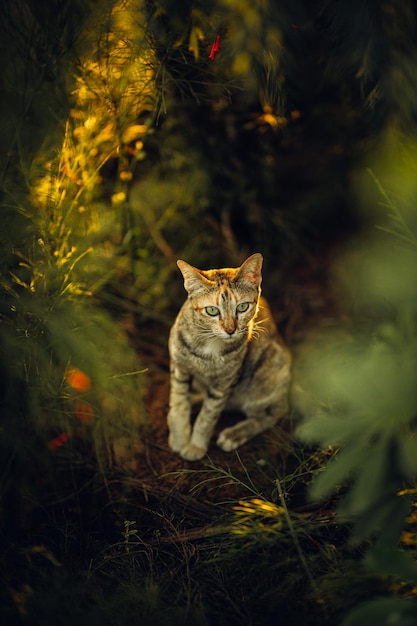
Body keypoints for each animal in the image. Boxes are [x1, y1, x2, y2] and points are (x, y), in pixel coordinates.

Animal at [166, 251, 290, 460]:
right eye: (212, 310)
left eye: (242, 307)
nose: (231, 330)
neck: (208, 346)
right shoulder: (179, 368)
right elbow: (179, 403)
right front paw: (180, 437)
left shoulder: (224, 383)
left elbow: (208, 415)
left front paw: (196, 445)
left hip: (269, 372)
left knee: (275, 412)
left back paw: (235, 434)